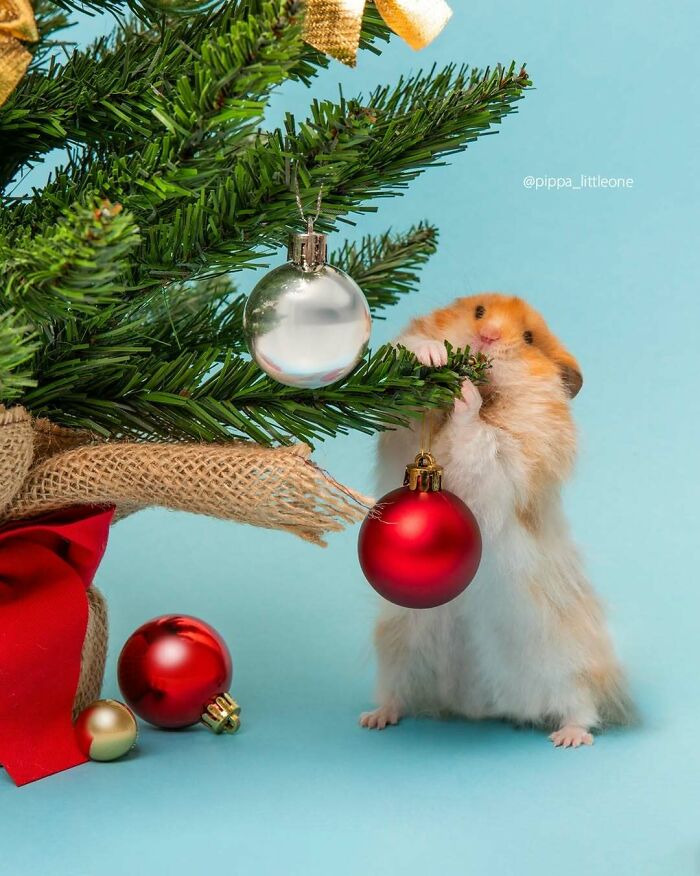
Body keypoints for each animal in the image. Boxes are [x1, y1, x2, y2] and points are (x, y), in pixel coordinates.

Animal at [358, 292, 632, 744]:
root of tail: (481, 704)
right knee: (398, 694)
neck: (494, 394)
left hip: (567, 659)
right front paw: (434, 356)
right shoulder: (401, 435)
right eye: (479, 312)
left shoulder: (513, 459)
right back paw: (375, 718)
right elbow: (408, 382)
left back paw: (569, 737)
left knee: (582, 704)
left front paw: (466, 391)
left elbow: (480, 438)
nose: (486, 338)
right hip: (400, 644)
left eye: (528, 338)